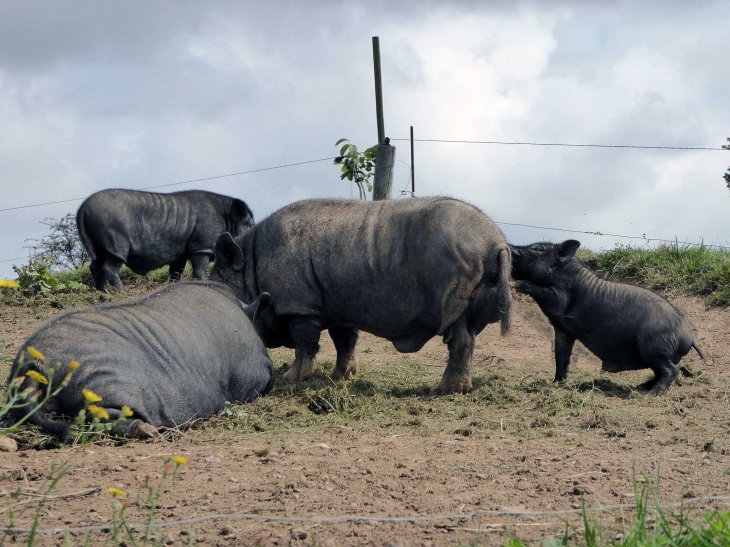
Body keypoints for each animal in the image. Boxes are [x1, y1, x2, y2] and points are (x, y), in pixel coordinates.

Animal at [77, 188, 253, 292]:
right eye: (250, 224)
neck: (227, 219)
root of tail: (83, 208)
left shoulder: (181, 252)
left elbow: (176, 272)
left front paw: (173, 286)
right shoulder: (202, 245)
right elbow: (199, 269)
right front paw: (204, 282)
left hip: (98, 244)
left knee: (95, 264)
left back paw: (104, 292)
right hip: (115, 242)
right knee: (110, 266)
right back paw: (123, 292)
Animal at [208, 197, 510, 394]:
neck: (248, 263)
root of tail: (496, 243)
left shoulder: (299, 305)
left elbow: (304, 343)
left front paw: (292, 379)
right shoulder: (339, 305)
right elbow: (344, 341)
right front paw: (340, 377)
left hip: (459, 257)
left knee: (456, 328)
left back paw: (447, 389)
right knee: (467, 328)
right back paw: (458, 388)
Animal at [510, 240, 704, 394]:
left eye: (537, 248)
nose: (511, 248)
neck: (564, 271)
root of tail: (688, 336)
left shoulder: (560, 297)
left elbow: (548, 293)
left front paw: (519, 284)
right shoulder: (563, 330)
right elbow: (561, 357)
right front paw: (556, 383)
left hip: (656, 347)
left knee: (672, 371)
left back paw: (649, 394)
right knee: (660, 372)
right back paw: (641, 387)